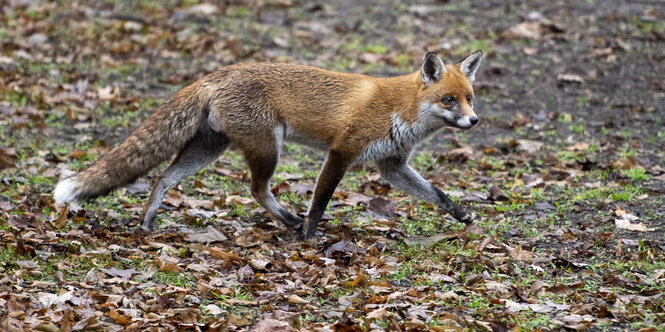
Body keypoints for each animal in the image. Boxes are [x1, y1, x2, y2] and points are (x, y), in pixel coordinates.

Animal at [54, 51, 482, 239]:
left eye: (469, 98)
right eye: (448, 100)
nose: (474, 121)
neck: (401, 109)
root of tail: (220, 72)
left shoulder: (391, 165)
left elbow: (437, 194)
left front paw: (461, 214)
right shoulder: (342, 152)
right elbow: (319, 202)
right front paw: (309, 236)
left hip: (210, 149)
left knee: (163, 178)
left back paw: (147, 222)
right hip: (267, 148)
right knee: (257, 189)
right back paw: (290, 222)